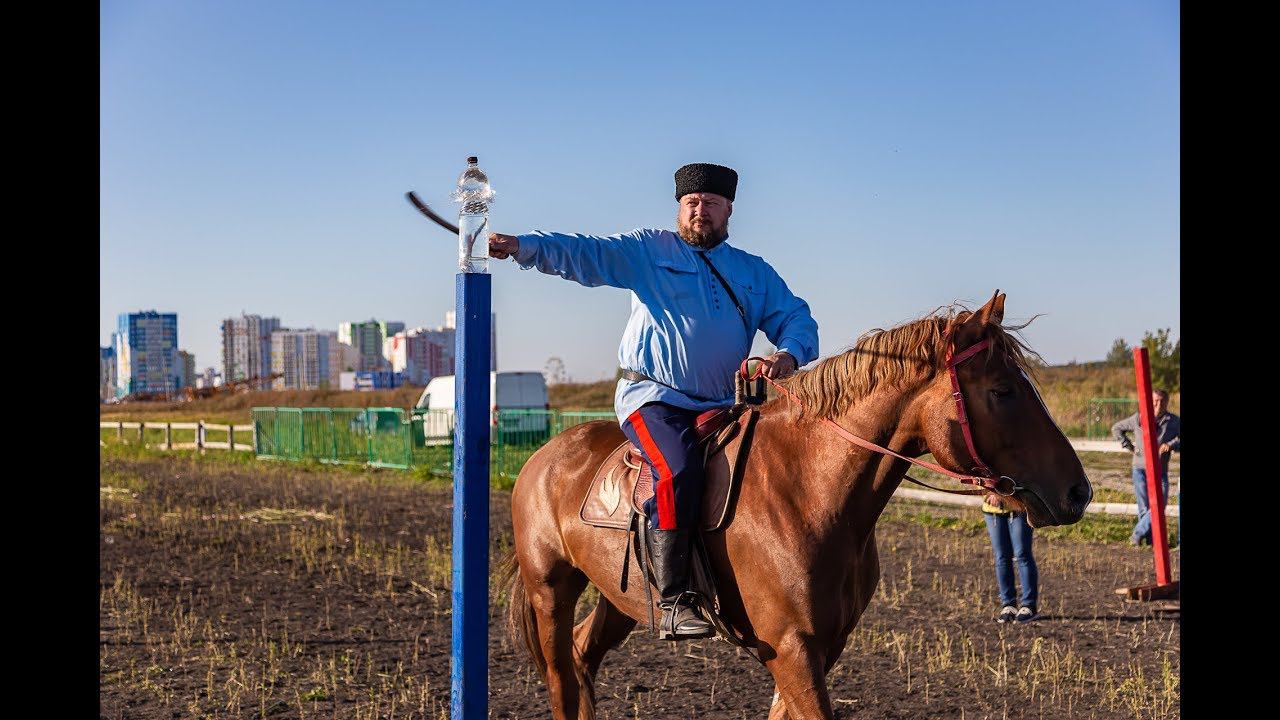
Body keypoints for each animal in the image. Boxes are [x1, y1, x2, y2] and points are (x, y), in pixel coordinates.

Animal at [499, 292, 1090, 717]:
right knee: (562, 679)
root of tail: (544, 456)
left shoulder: (820, 649)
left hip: (617, 600)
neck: (808, 490)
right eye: (1002, 390)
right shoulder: (790, 650)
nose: (1077, 491)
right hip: (551, 591)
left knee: (583, 658)